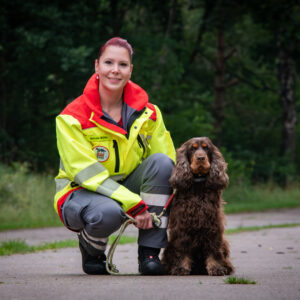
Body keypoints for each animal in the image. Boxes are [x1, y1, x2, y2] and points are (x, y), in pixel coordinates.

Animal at [162, 137, 234, 276]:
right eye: (193, 148)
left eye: (206, 148)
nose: (201, 158)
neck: (198, 185)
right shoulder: (183, 225)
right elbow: (182, 248)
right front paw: (180, 268)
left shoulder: (213, 224)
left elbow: (213, 248)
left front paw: (216, 268)